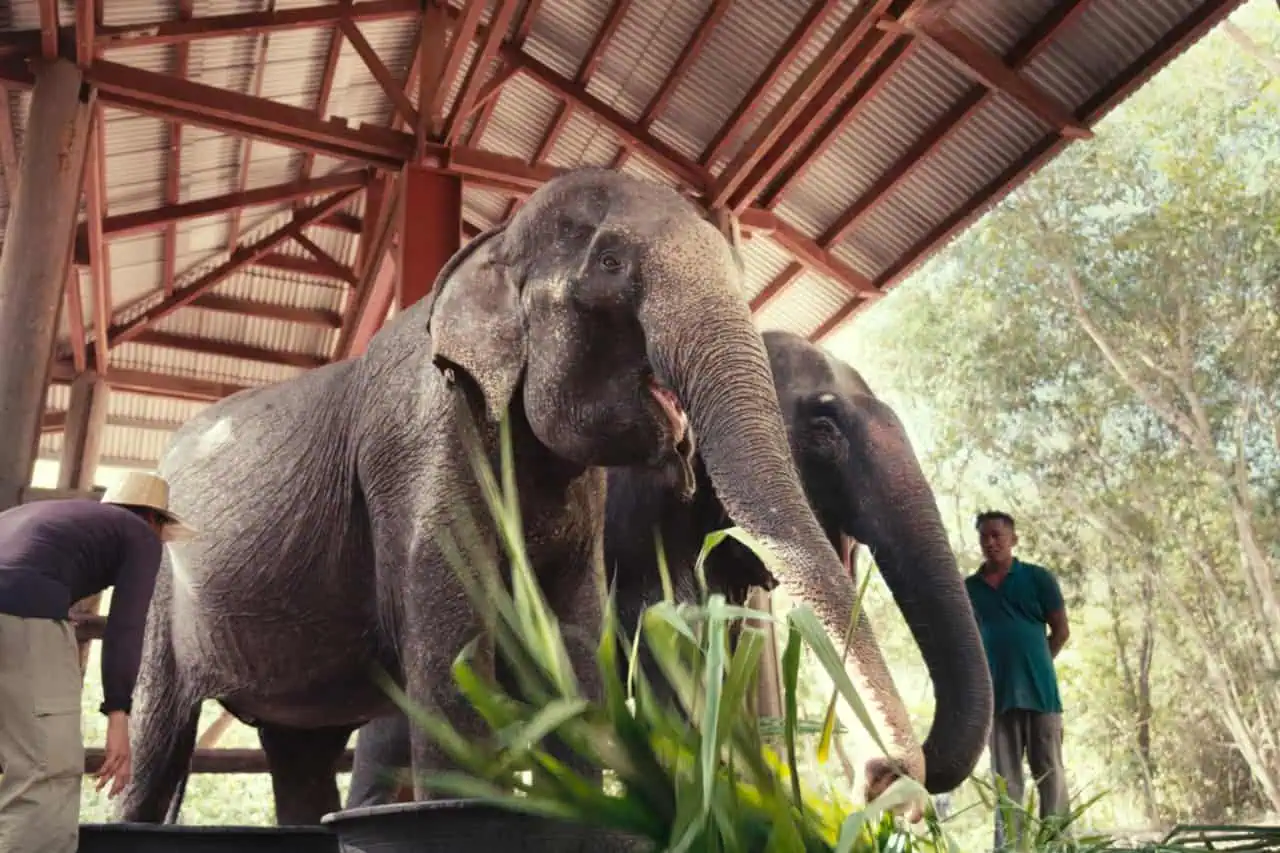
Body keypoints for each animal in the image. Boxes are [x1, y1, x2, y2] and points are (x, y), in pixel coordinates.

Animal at [119, 168, 925, 827]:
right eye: (611, 265)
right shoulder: (421, 446)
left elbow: (576, 642)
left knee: (301, 755)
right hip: (162, 591)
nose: (887, 777)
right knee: (161, 742)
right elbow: (452, 649)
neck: (494, 244)